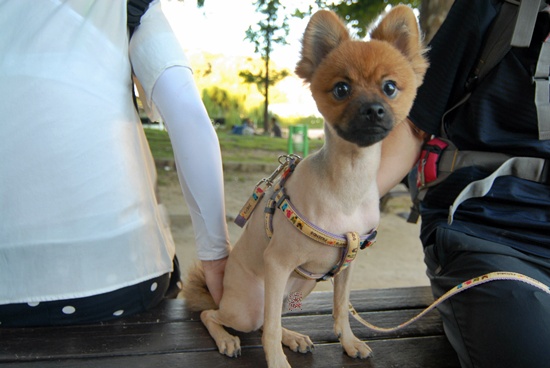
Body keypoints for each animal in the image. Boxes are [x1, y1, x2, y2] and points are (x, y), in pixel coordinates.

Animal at [183, 5, 430, 366]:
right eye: (342, 89)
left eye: (390, 87)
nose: (373, 110)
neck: (348, 186)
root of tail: (224, 291)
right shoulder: (277, 263)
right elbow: (270, 329)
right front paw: (276, 360)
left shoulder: (346, 266)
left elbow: (340, 308)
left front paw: (349, 342)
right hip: (247, 305)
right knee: (216, 316)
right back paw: (227, 339)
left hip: (297, 289)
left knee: (266, 319)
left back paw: (294, 336)